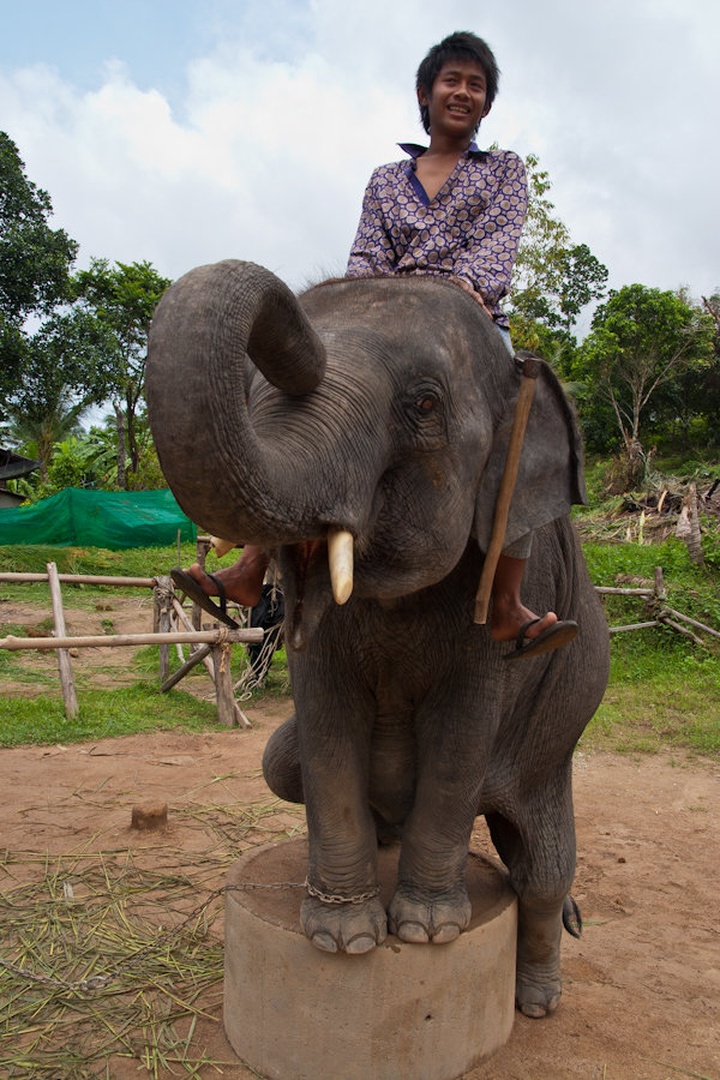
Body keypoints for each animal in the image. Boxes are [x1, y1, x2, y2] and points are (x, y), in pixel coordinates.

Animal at [146, 259, 610, 1018]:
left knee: (543, 873)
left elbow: (462, 726)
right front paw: (347, 939)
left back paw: (538, 999)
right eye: (251, 392)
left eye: (424, 405)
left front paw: (427, 932)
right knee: (280, 763)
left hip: (553, 742)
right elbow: (325, 718)